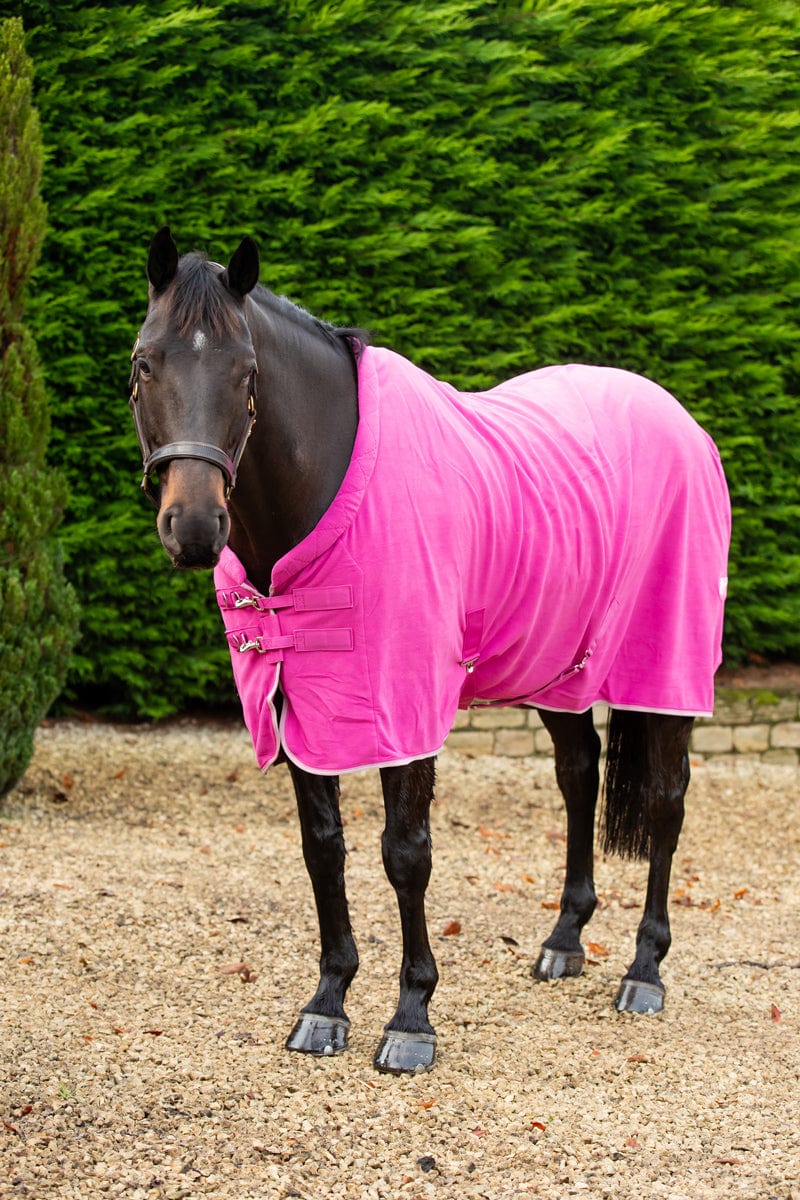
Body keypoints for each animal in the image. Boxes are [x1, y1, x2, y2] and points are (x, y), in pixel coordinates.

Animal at [129, 227, 731, 1074]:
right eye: (145, 362)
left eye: (247, 374)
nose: (193, 527)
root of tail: (679, 418)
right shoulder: (294, 703)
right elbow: (323, 850)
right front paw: (327, 1004)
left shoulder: (403, 705)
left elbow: (405, 854)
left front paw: (411, 1017)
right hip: (559, 667)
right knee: (579, 776)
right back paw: (564, 939)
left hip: (667, 666)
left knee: (667, 800)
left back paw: (645, 970)